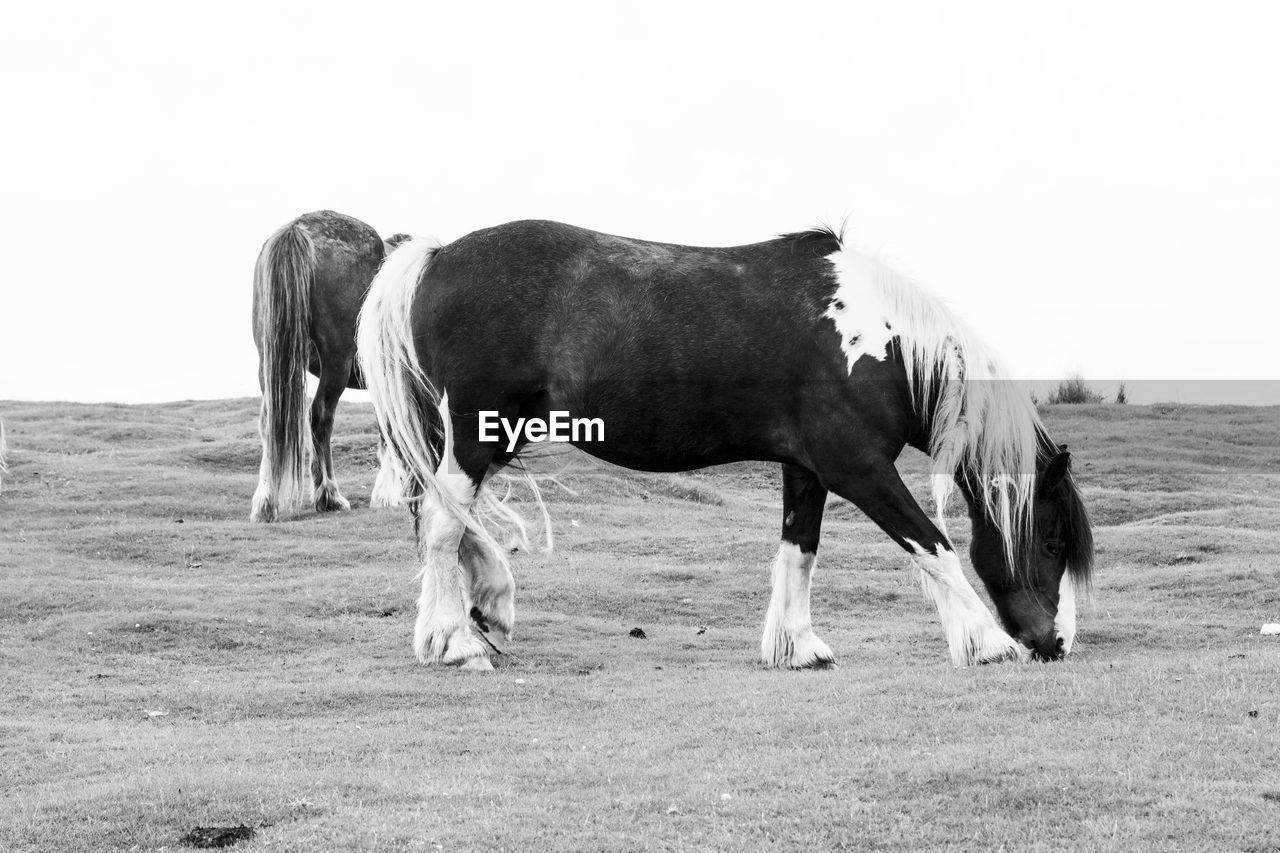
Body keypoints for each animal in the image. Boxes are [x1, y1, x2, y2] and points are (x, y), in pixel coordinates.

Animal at [247, 208, 412, 522]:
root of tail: (298, 229)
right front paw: (390, 493)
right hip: (337, 362)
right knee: (320, 417)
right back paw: (329, 496)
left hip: (268, 359)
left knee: (269, 421)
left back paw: (266, 502)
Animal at [355, 220, 1095, 671]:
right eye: (1053, 538)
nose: (1056, 643)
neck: (873, 342)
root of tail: (439, 255)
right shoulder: (857, 468)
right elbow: (931, 545)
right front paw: (988, 642)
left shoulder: (808, 470)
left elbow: (799, 552)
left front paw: (798, 646)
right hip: (479, 431)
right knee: (444, 520)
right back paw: (458, 641)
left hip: (495, 435)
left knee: (446, 517)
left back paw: (485, 608)